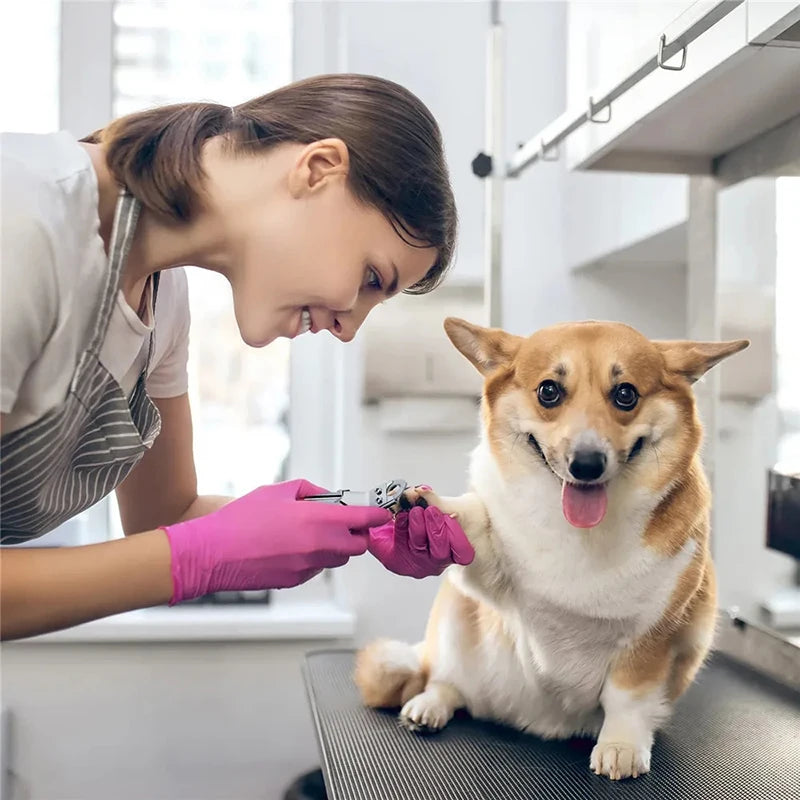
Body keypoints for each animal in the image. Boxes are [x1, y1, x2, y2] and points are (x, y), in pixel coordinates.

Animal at [356, 318, 752, 780]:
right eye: (549, 391)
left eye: (626, 394)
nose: (587, 464)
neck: (579, 532)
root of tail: (533, 719)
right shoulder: (493, 571)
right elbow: (472, 519)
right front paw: (425, 506)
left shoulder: (652, 638)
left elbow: (628, 700)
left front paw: (621, 746)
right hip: (454, 616)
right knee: (447, 681)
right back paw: (430, 704)